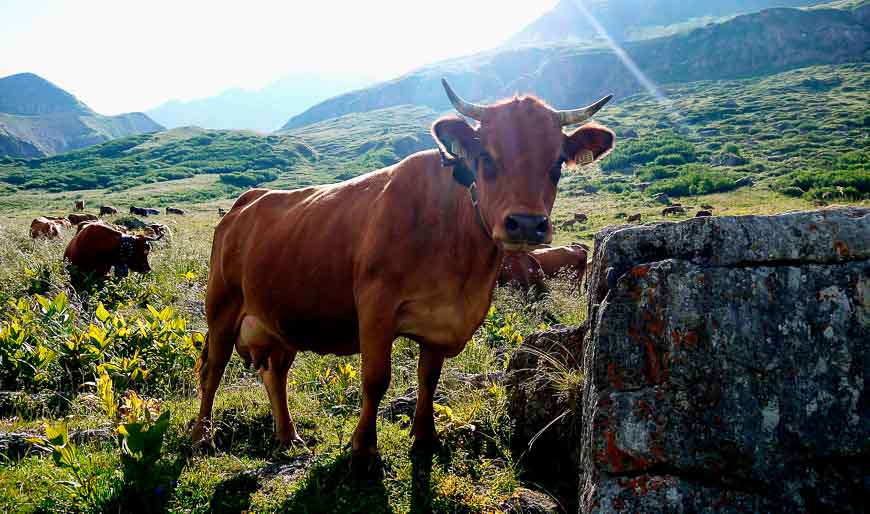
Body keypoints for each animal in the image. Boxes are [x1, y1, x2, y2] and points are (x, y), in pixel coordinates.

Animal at [192, 77, 612, 472]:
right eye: (487, 158)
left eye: (557, 164)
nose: (526, 224)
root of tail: (246, 202)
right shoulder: (376, 309)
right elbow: (376, 379)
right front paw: (363, 450)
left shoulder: (442, 324)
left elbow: (429, 380)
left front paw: (425, 438)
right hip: (222, 306)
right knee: (212, 370)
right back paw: (202, 439)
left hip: (282, 318)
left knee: (275, 373)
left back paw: (288, 436)